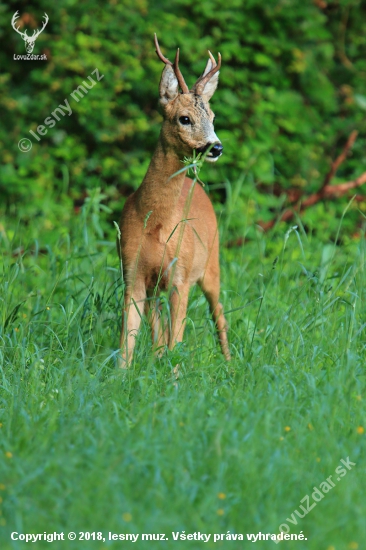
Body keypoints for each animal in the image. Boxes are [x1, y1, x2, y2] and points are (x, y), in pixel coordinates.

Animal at [118, 36, 232, 368]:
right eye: (184, 118)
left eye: (213, 117)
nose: (216, 147)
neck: (156, 224)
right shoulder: (132, 272)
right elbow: (128, 341)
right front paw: (119, 376)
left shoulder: (181, 275)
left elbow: (175, 341)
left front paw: (175, 377)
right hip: (159, 286)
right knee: (160, 331)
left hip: (211, 264)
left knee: (219, 314)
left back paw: (230, 366)